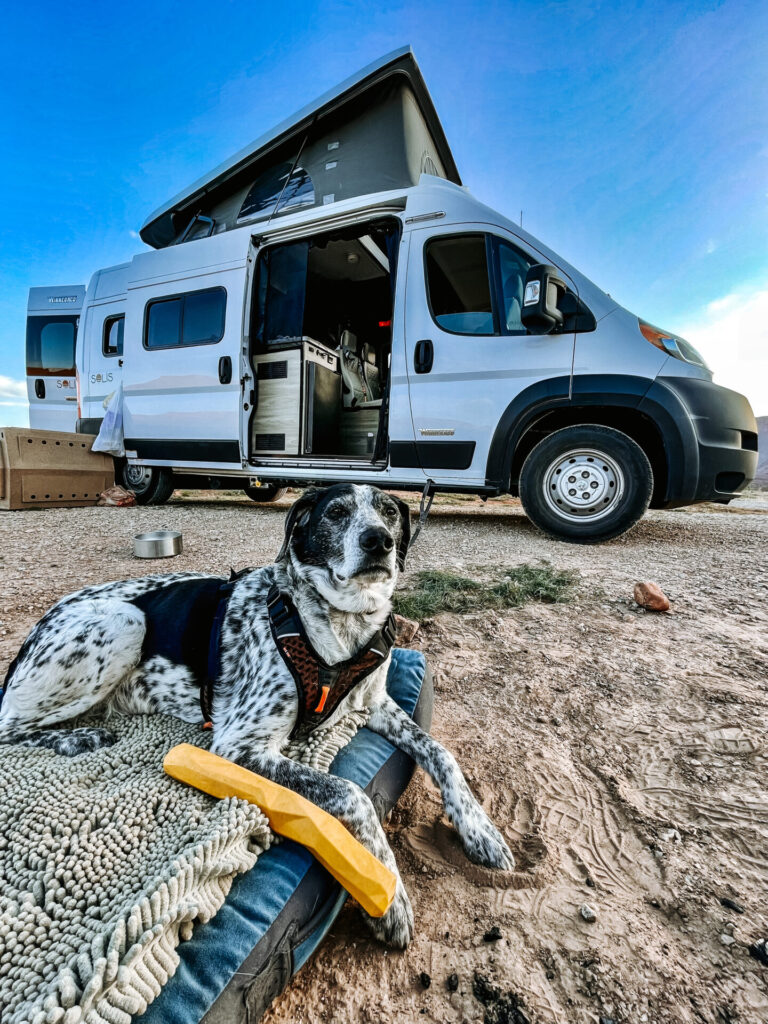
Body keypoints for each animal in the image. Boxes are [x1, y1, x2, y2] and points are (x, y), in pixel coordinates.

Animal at [3, 483, 518, 946]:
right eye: (336, 512)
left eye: (390, 512)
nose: (379, 542)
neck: (339, 625)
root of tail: (36, 629)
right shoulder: (239, 744)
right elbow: (353, 794)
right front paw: (389, 898)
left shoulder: (374, 704)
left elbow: (441, 752)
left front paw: (481, 830)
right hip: (124, 621)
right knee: (9, 724)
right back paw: (76, 738)